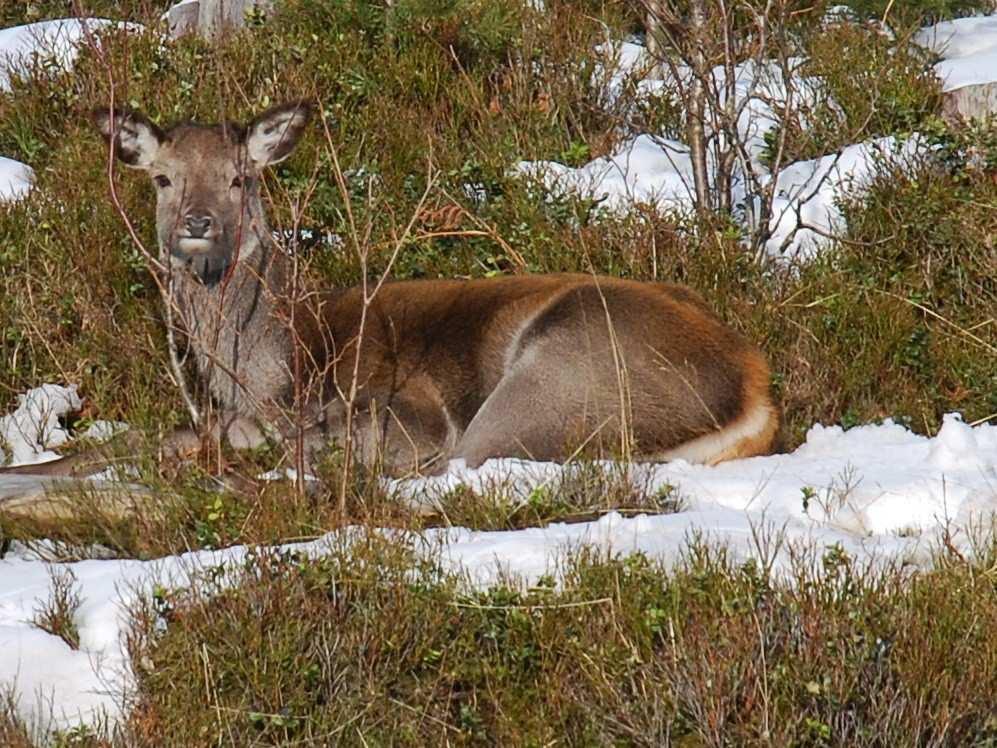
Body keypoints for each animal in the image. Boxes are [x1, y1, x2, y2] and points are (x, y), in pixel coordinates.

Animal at [0, 102, 780, 482]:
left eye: (240, 178)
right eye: (162, 178)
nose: (198, 223)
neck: (274, 362)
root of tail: (754, 386)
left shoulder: (405, 406)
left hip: (551, 386)